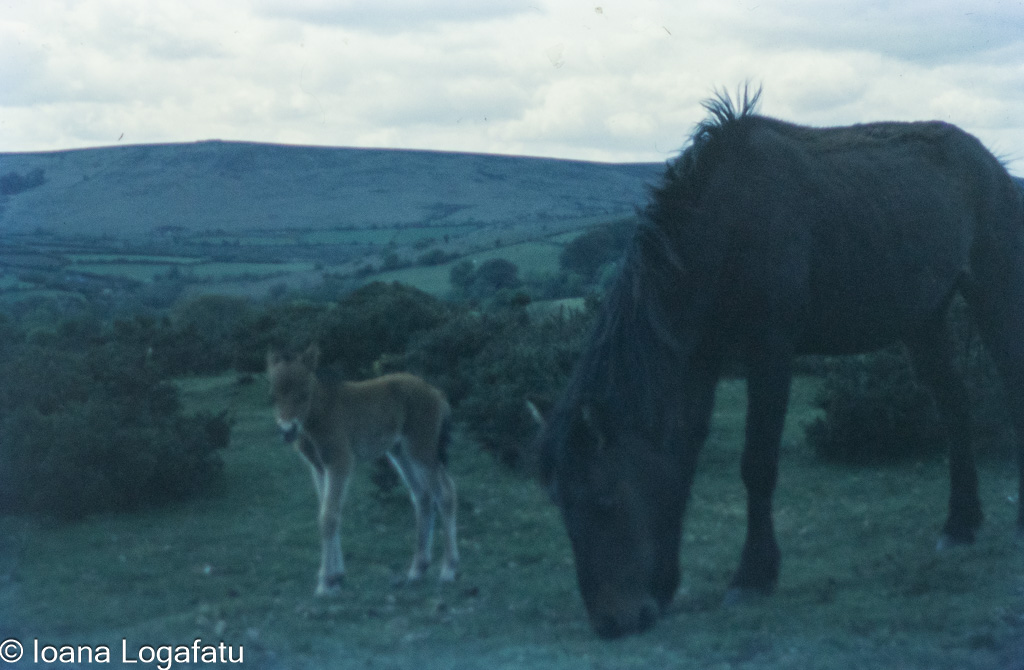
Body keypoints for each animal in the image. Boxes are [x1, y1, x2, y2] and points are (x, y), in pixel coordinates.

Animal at [266, 344, 458, 595]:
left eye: (304, 392)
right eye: (273, 395)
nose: (287, 431)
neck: (319, 414)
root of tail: (436, 392)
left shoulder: (340, 462)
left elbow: (328, 517)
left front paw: (326, 583)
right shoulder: (318, 468)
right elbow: (328, 512)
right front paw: (336, 576)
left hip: (421, 449)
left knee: (445, 493)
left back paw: (448, 570)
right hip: (400, 452)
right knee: (423, 496)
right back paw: (417, 570)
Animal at [534, 87, 1024, 639]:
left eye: (605, 500)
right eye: (560, 504)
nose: (611, 621)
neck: (724, 225)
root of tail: (992, 163)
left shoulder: (769, 349)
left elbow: (758, 465)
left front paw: (753, 574)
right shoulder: (703, 359)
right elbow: (681, 464)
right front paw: (665, 585)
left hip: (994, 287)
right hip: (924, 318)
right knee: (956, 405)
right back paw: (960, 523)